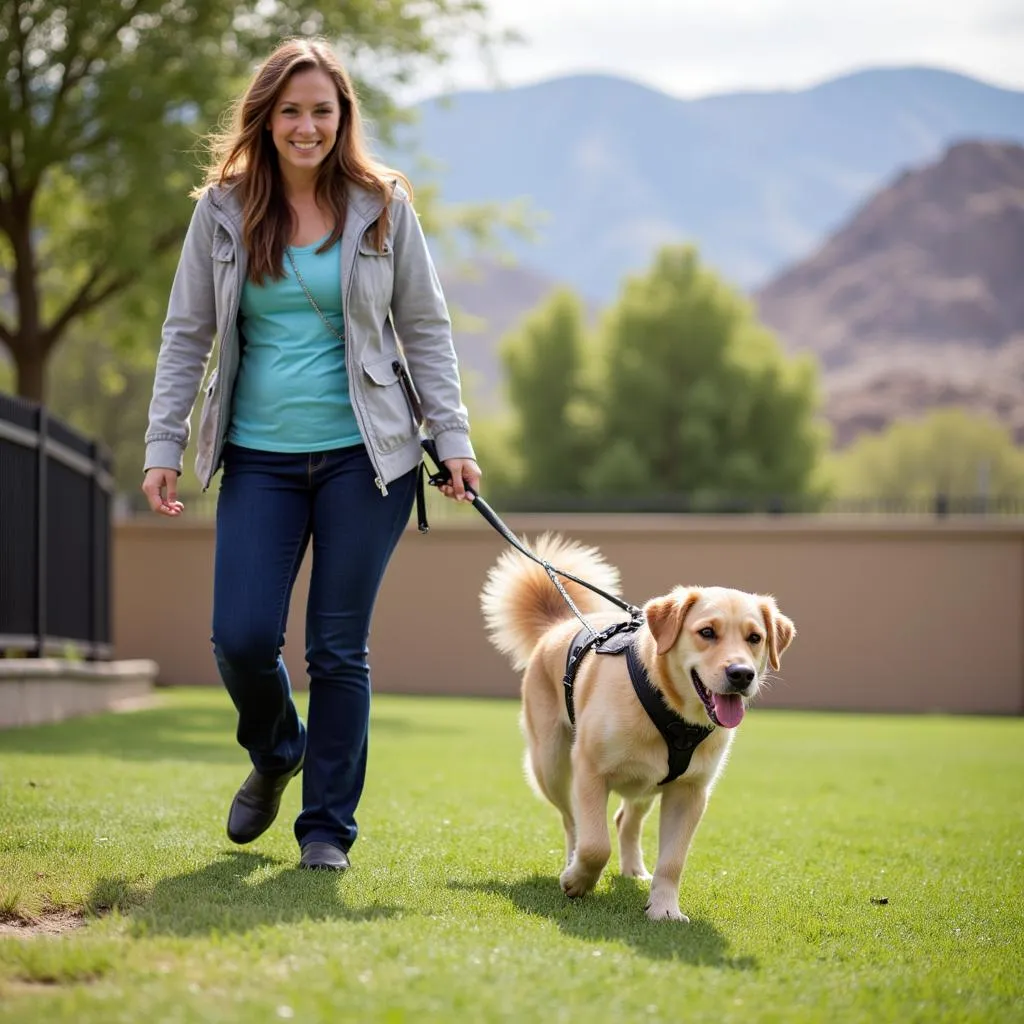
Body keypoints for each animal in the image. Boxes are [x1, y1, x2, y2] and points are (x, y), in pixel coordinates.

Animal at [481, 536, 798, 921]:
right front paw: (578, 881)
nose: (742, 674)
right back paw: (572, 863)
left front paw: (664, 908)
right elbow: (595, 844)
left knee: (624, 820)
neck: (670, 709)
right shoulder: (590, 771)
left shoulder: (690, 791)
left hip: (647, 782)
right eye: (707, 632)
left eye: (755, 638)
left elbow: (673, 861)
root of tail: (557, 625)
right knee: (572, 823)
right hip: (552, 765)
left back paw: (633, 869)